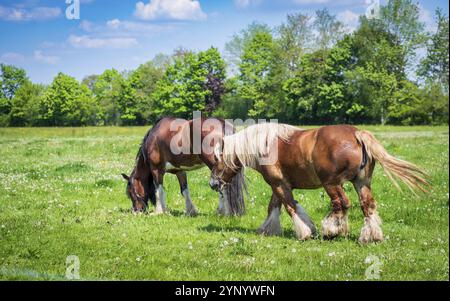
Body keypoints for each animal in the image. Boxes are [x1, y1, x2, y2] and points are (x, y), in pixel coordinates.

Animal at [211, 123, 428, 243]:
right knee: (368, 205)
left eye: (216, 160)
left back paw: (331, 231)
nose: (213, 184)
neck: (265, 146)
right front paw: (267, 229)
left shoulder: (279, 185)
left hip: (332, 184)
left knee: (341, 204)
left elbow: (290, 207)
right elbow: (274, 206)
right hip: (362, 182)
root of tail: (357, 134)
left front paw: (305, 232)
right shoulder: (279, 185)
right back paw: (371, 236)